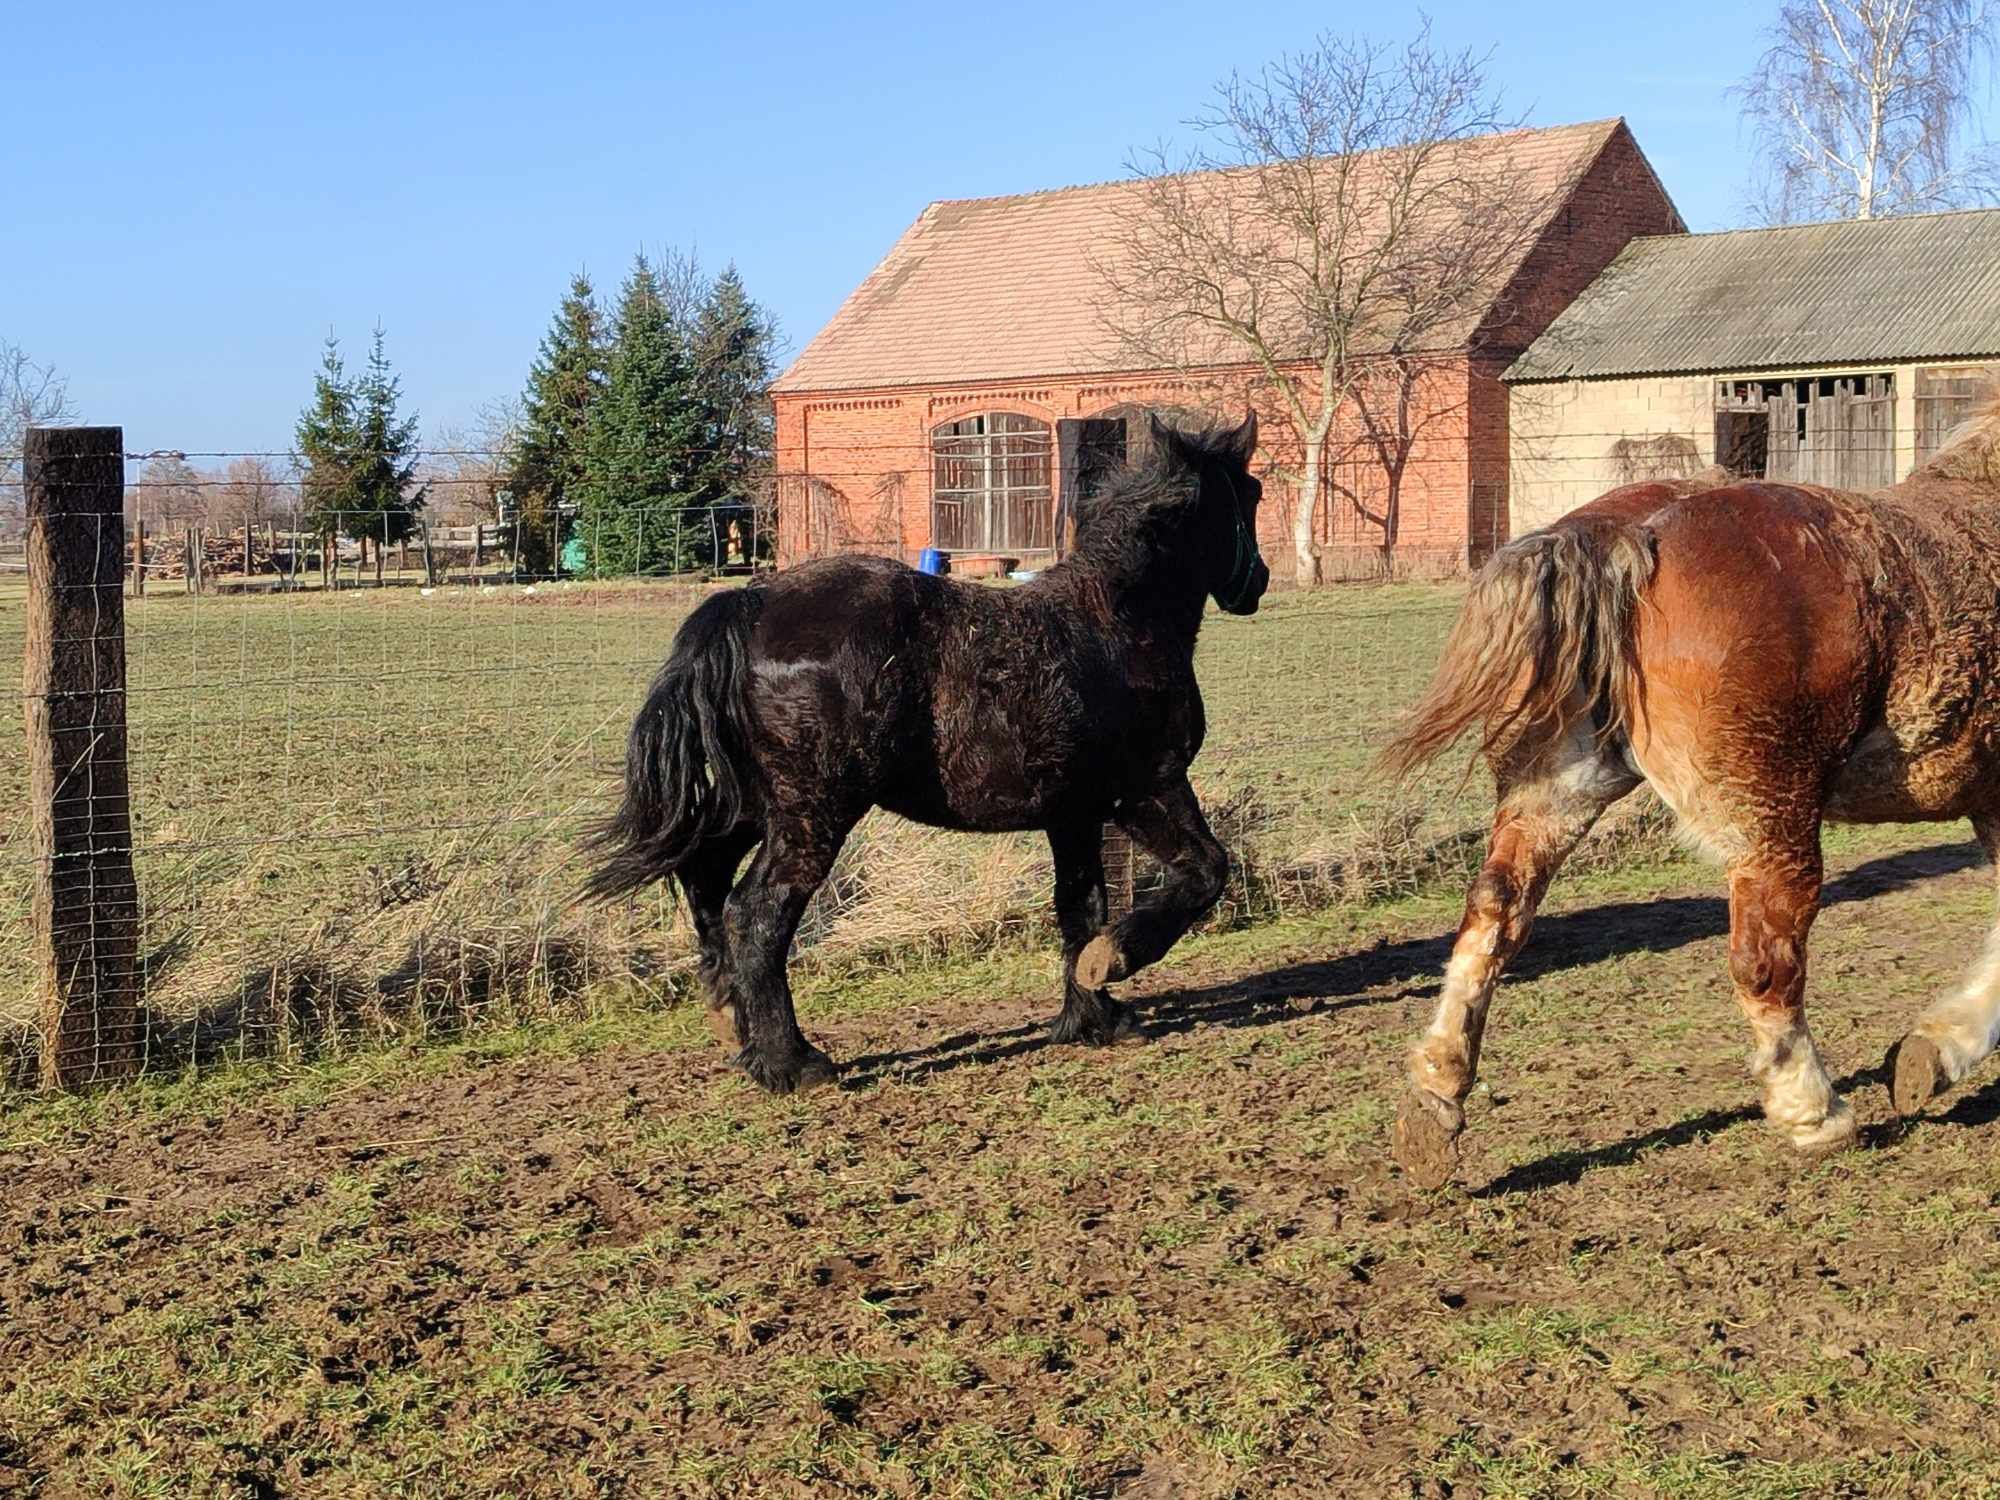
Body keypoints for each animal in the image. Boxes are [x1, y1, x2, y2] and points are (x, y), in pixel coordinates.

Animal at [584, 418, 1264, 1096]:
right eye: (1252, 493)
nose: (1255, 582)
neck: (1118, 624)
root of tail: (749, 605)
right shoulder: (1148, 788)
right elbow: (1205, 871)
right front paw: (1112, 964)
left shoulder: (1073, 813)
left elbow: (1081, 907)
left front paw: (1095, 1017)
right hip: (812, 814)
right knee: (757, 912)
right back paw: (793, 1063)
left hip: (757, 804)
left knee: (705, 875)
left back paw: (733, 1024)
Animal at [1384, 394, 2000, 1192]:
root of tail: (1628, 534)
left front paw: (1936, 1050)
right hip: (1772, 824)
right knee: (1765, 960)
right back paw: (1815, 1115)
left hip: (1557, 792)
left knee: (1493, 913)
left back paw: (1435, 1101)